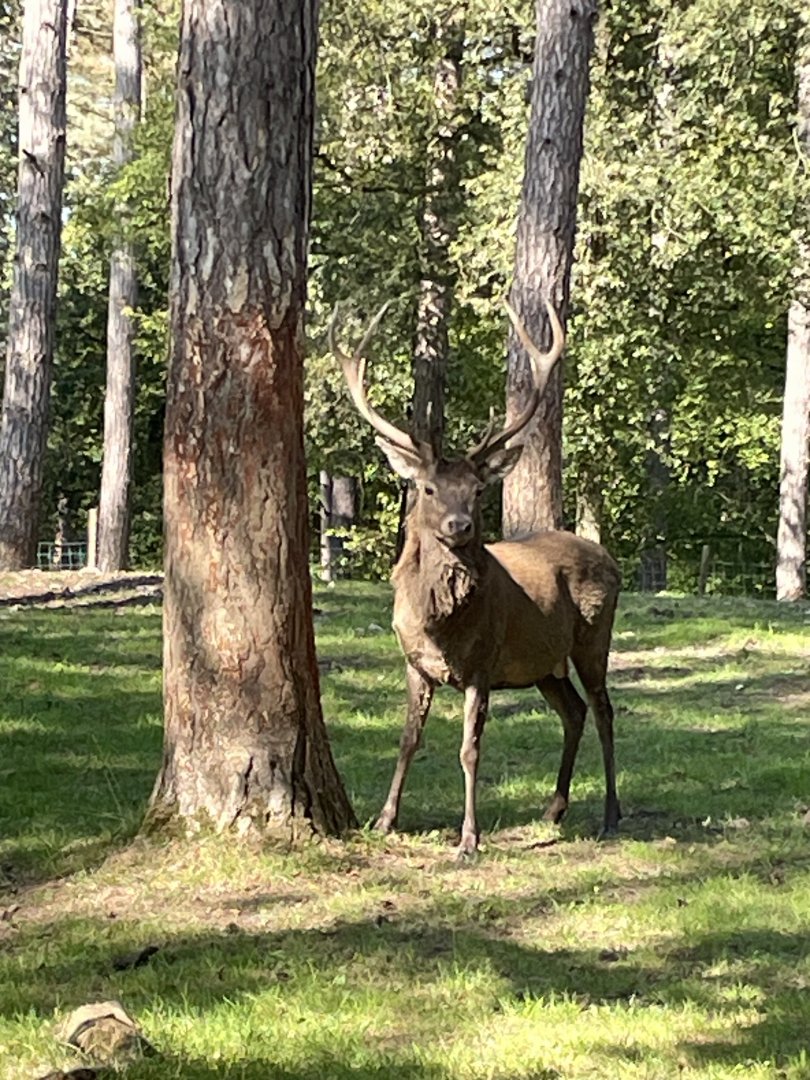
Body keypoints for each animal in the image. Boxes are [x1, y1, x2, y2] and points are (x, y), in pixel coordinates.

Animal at [329, 297, 621, 857]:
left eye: (478, 490)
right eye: (427, 488)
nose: (458, 526)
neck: (440, 623)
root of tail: (609, 557)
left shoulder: (483, 665)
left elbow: (469, 749)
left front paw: (469, 837)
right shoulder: (414, 662)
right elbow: (408, 739)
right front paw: (385, 819)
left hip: (593, 636)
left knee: (603, 710)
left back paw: (612, 814)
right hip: (543, 664)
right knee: (572, 711)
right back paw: (554, 808)